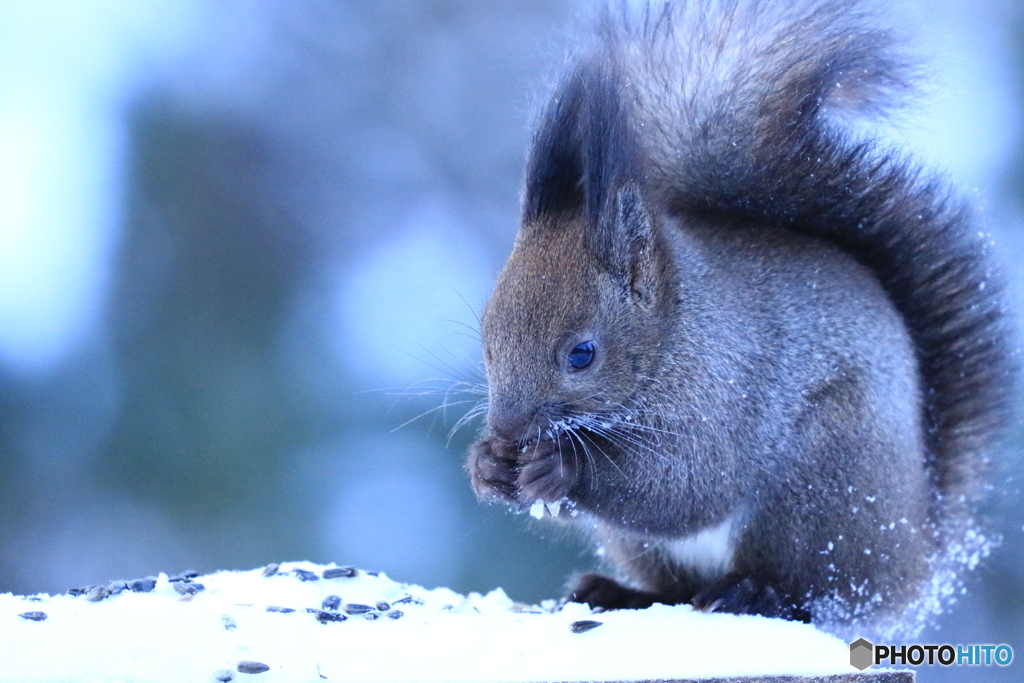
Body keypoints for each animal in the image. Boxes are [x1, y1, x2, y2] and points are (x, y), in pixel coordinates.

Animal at [468, 0, 1011, 634]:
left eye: (582, 354)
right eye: (487, 341)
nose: (507, 430)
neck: (677, 334)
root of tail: (913, 563)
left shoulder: (724, 393)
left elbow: (687, 484)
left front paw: (561, 469)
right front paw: (487, 466)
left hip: (819, 489)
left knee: (811, 596)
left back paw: (753, 594)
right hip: (654, 548)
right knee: (675, 590)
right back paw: (616, 592)